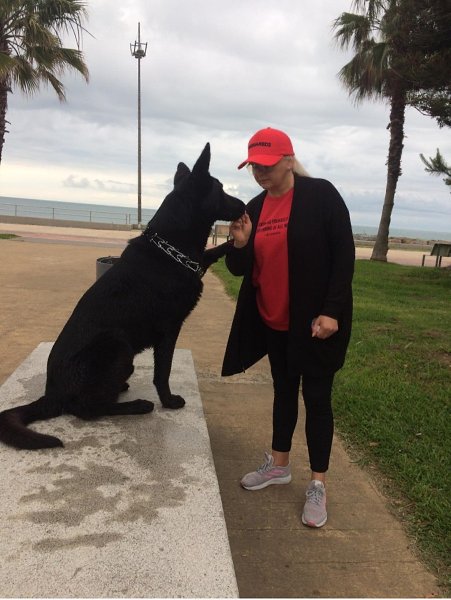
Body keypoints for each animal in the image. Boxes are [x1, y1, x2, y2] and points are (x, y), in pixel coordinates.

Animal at [0, 144, 245, 450]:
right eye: (221, 189)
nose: (245, 206)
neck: (169, 250)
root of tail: (51, 395)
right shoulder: (169, 330)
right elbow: (162, 371)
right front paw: (168, 401)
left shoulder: (196, 262)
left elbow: (213, 252)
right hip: (117, 346)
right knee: (88, 409)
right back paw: (138, 405)